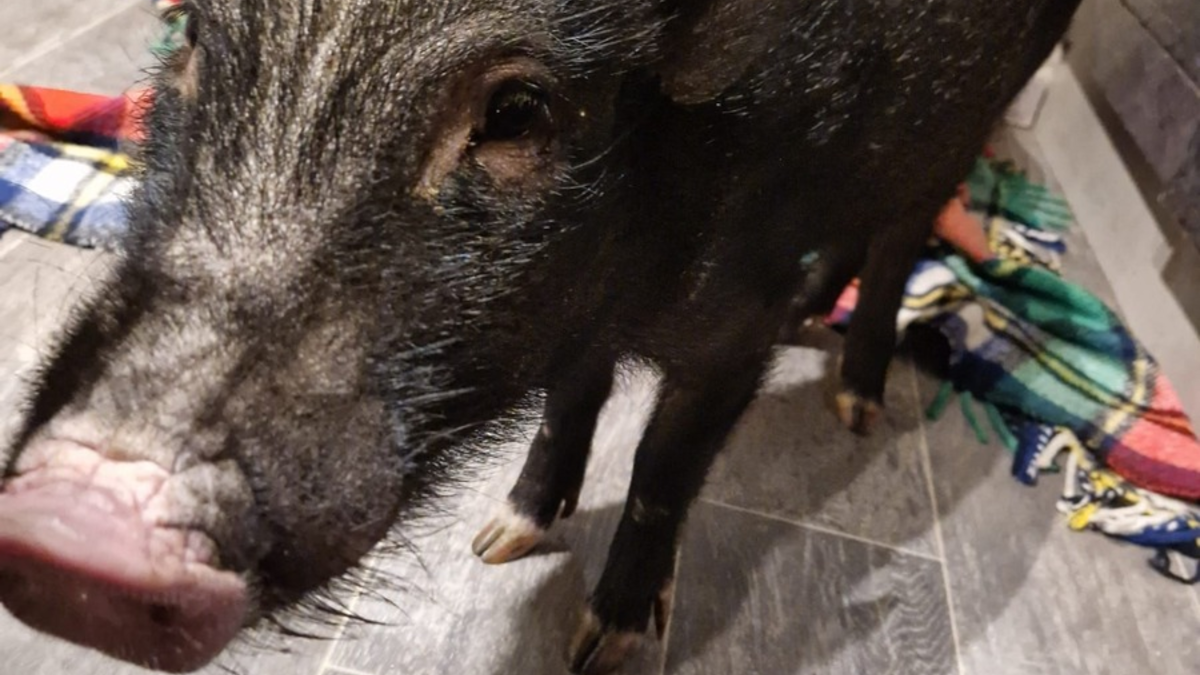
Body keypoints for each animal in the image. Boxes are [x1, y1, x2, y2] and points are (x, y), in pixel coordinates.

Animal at [0, 0, 1080, 673]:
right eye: (188, 36)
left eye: (519, 109)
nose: (79, 513)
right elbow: (570, 402)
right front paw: (501, 540)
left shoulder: (735, 332)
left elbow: (660, 471)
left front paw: (601, 648)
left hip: (973, 116)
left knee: (903, 234)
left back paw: (855, 405)